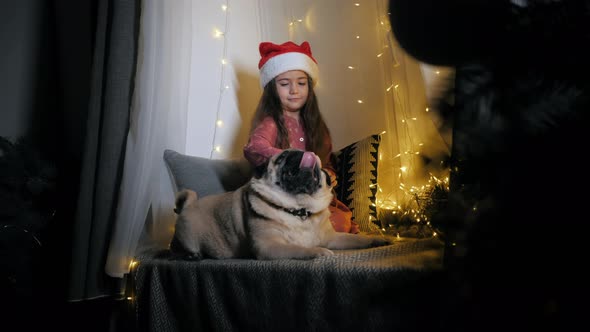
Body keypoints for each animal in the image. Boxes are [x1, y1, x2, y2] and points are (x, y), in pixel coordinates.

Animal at [170, 149, 394, 260]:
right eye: (282, 157)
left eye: (320, 171)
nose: (301, 153)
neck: (299, 209)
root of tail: (189, 205)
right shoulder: (269, 245)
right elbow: (298, 249)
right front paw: (317, 252)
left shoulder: (332, 238)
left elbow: (357, 239)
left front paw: (376, 240)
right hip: (186, 235)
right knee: (178, 249)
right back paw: (191, 255)